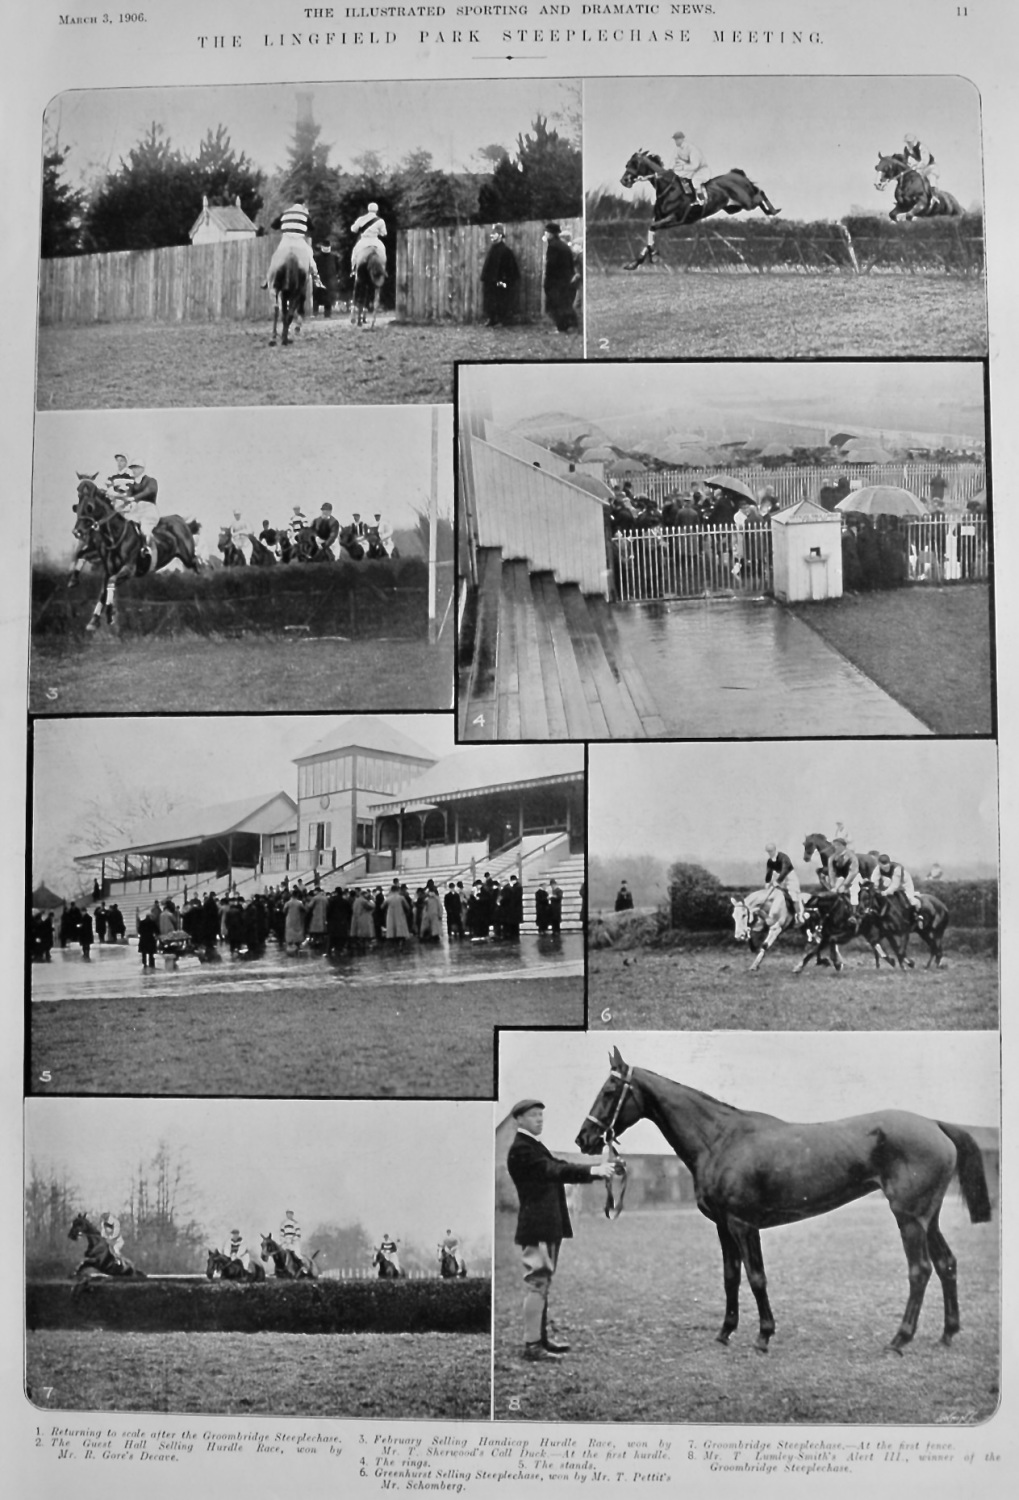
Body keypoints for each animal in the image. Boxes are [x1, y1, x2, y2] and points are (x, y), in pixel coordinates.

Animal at [69, 480, 201, 633]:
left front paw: (110, 615)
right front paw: (93, 620)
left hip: (187, 556)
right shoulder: (108, 569)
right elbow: (102, 590)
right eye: (77, 507)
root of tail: (181, 520)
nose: (77, 532)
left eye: (89, 507)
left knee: (195, 561)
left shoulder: (129, 570)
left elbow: (110, 584)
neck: (115, 537)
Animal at [579, 1050, 990, 1356]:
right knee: (946, 1264)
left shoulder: (743, 1224)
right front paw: (725, 1332)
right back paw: (947, 1334)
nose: (583, 1138)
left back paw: (898, 1340)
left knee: (920, 1270)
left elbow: (756, 1277)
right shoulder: (724, 1227)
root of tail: (935, 1125)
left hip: (909, 1219)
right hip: (928, 1218)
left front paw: (763, 1336)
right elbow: (731, 1277)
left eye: (610, 1090)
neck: (720, 1139)